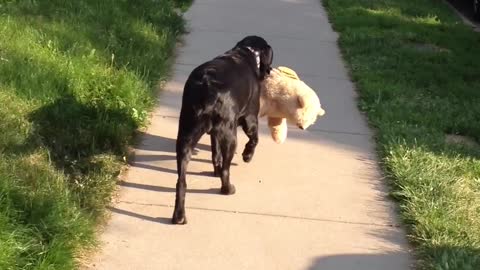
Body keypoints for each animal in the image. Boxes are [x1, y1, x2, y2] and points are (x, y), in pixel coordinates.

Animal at [172, 36, 272, 226]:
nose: (270, 71)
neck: (246, 52)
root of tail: (207, 89)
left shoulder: (214, 134)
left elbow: (215, 154)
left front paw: (215, 170)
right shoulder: (250, 118)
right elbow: (255, 139)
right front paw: (247, 155)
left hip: (186, 134)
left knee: (181, 182)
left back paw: (179, 216)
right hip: (230, 136)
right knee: (227, 169)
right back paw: (228, 189)